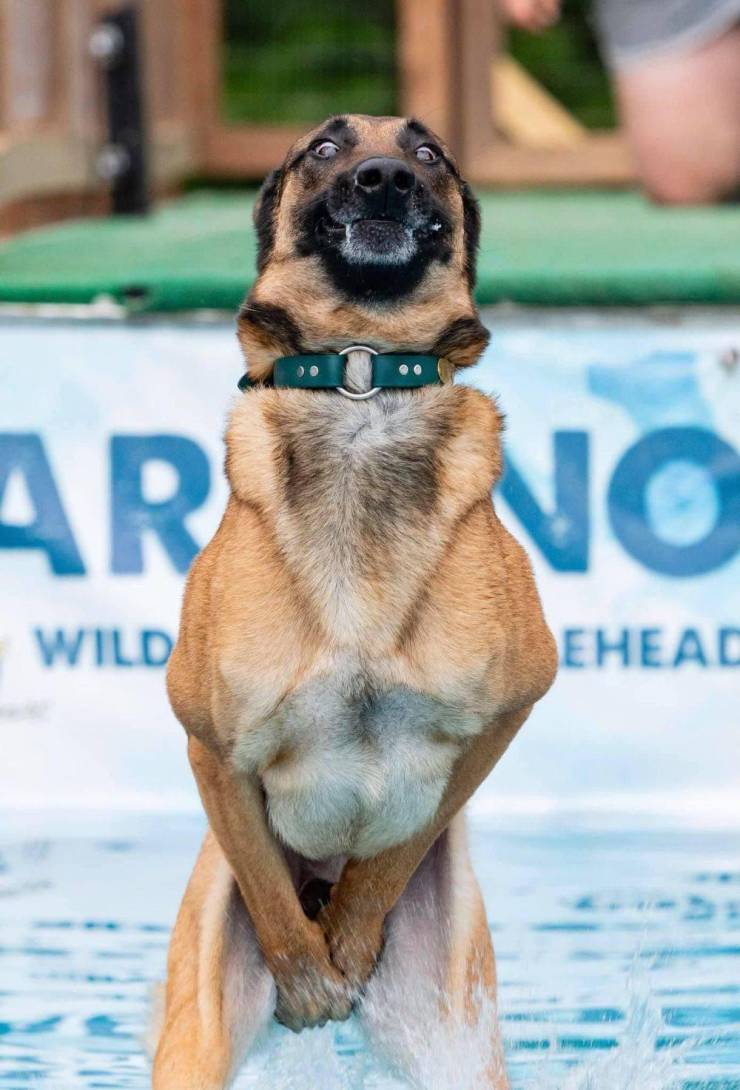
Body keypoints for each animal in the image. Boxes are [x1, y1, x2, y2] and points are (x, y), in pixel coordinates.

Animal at [150, 114, 555, 1085]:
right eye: (324, 151)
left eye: (429, 153)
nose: (384, 179)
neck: (360, 380)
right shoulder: (211, 747)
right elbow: (264, 879)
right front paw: (310, 977)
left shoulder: (503, 717)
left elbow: (396, 849)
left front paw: (348, 941)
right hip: (193, 1039)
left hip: (459, 1044)